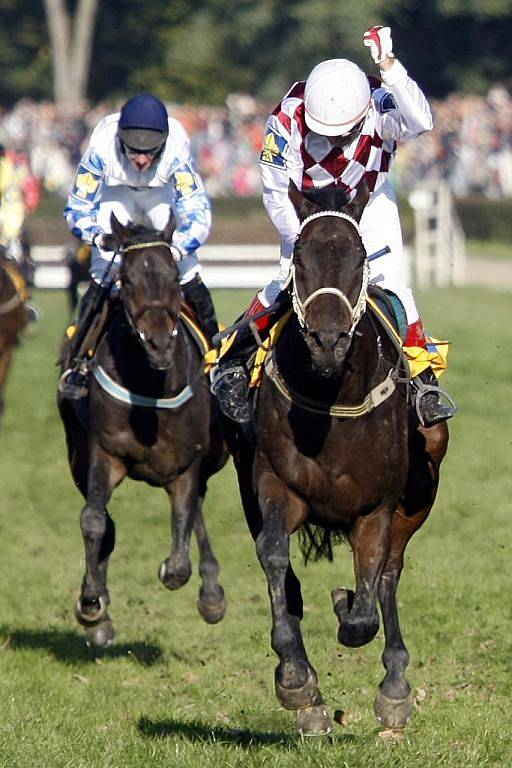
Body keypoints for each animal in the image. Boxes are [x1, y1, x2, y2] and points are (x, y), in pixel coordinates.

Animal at [58, 214, 228, 648]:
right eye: (127, 278)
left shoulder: (187, 465)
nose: (158, 344)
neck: (151, 386)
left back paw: (212, 595)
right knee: (103, 522)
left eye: (173, 276)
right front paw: (92, 606)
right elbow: (94, 521)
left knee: (196, 514)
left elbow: (182, 547)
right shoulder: (103, 454)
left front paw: (190, 581)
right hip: (77, 455)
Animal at [226, 183, 450, 736]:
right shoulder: (272, 484)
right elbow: (274, 556)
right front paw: (296, 680)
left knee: (389, 575)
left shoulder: (379, 507)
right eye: (300, 259)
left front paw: (349, 607)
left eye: (358, 256)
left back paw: (394, 685)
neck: (332, 398)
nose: (327, 340)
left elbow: (367, 602)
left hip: (420, 496)